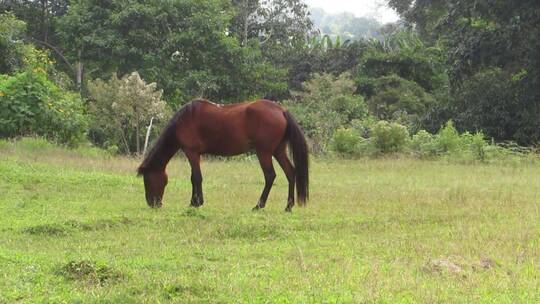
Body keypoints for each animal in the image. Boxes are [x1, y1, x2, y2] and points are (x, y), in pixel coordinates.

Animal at [137, 99, 310, 211]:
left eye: (147, 179)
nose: (153, 204)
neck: (184, 121)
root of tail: (281, 110)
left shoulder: (191, 152)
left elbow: (196, 177)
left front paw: (196, 202)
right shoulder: (195, 154)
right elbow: (194, 177)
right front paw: (195, 201)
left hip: (264, 152)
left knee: (270, 176)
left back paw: (259, 205)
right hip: (278, 150)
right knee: (290, 173)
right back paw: (288, 206)